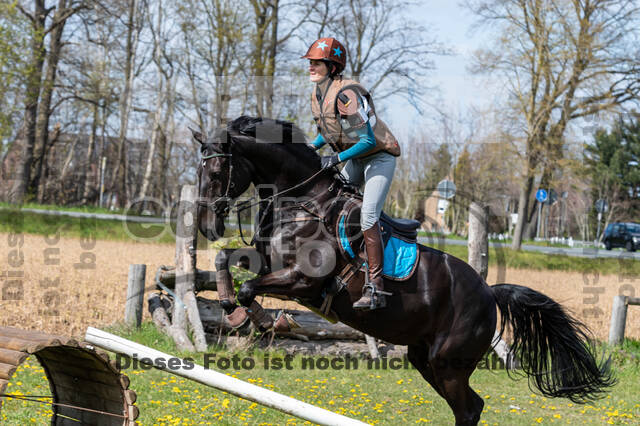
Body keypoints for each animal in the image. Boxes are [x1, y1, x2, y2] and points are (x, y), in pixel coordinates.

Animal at [194, 115, 616, 424]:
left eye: (215, 174)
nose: (207, 227)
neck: (303, 200)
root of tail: (488, 292)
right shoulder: (267, 261)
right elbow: (225, 260)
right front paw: (231, 310)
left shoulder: (303, 281)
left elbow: (252, 289)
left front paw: (269, 319)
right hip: (425, 358)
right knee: (471, 406)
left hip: (448, 363)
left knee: (469, 409)